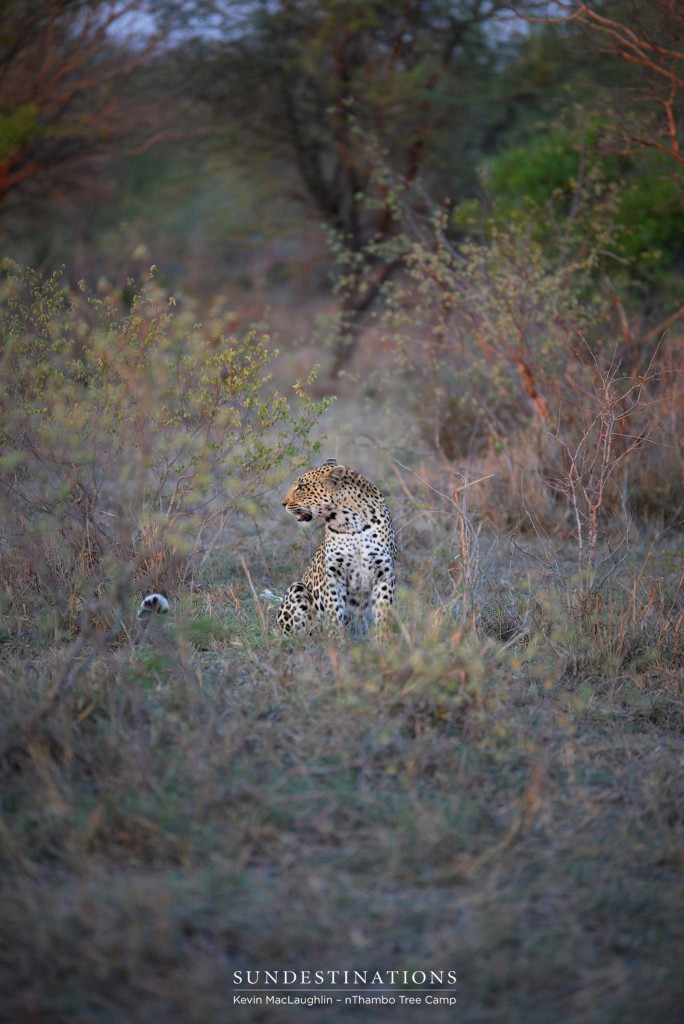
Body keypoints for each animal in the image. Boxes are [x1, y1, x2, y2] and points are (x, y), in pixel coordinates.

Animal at [276, 458, 397, 634]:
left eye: (301, 487)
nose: (282, 503)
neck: (352, 524)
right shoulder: (334, 575)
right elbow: (334, 612)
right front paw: (337, 638)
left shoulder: (384, 574)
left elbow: (383, 613)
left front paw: (382, 638)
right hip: (296, 588)